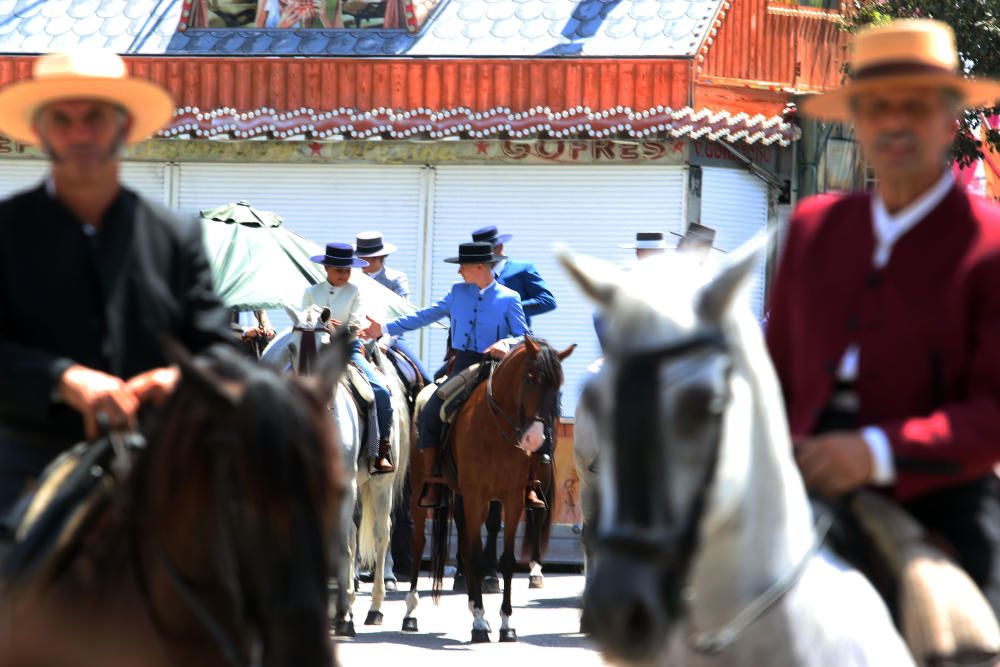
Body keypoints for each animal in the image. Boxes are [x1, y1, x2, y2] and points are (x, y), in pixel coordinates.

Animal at [264, 322, 412, 636]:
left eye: (325, 344)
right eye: (291, 348)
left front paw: (342, 615)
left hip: (380, 486)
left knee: (380, 535)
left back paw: (374, 607)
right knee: (353, 536)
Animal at [398, 336, 572, 644]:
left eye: (557, 385)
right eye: (530, 379)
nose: (535, 438)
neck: (494, 428)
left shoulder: (512, 499)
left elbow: (506, 560)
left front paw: (505, 623)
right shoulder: (477, 496)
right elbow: (476, 555)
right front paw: (479, 622)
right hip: (424, 489)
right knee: (419, 545)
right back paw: (411, 612)